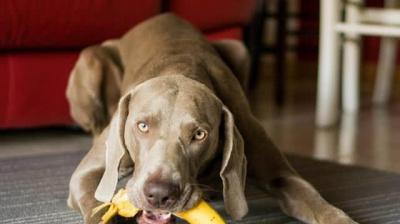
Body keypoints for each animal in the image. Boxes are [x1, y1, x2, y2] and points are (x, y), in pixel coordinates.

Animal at [65, 13, 356, 223]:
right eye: (142, 126)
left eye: (199, 134)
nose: (159, 194)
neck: (180, 68)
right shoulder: (85, 174)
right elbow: (96, 205)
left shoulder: (278, 170)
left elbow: (315, 199)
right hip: (91, 60)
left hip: (239, 49)